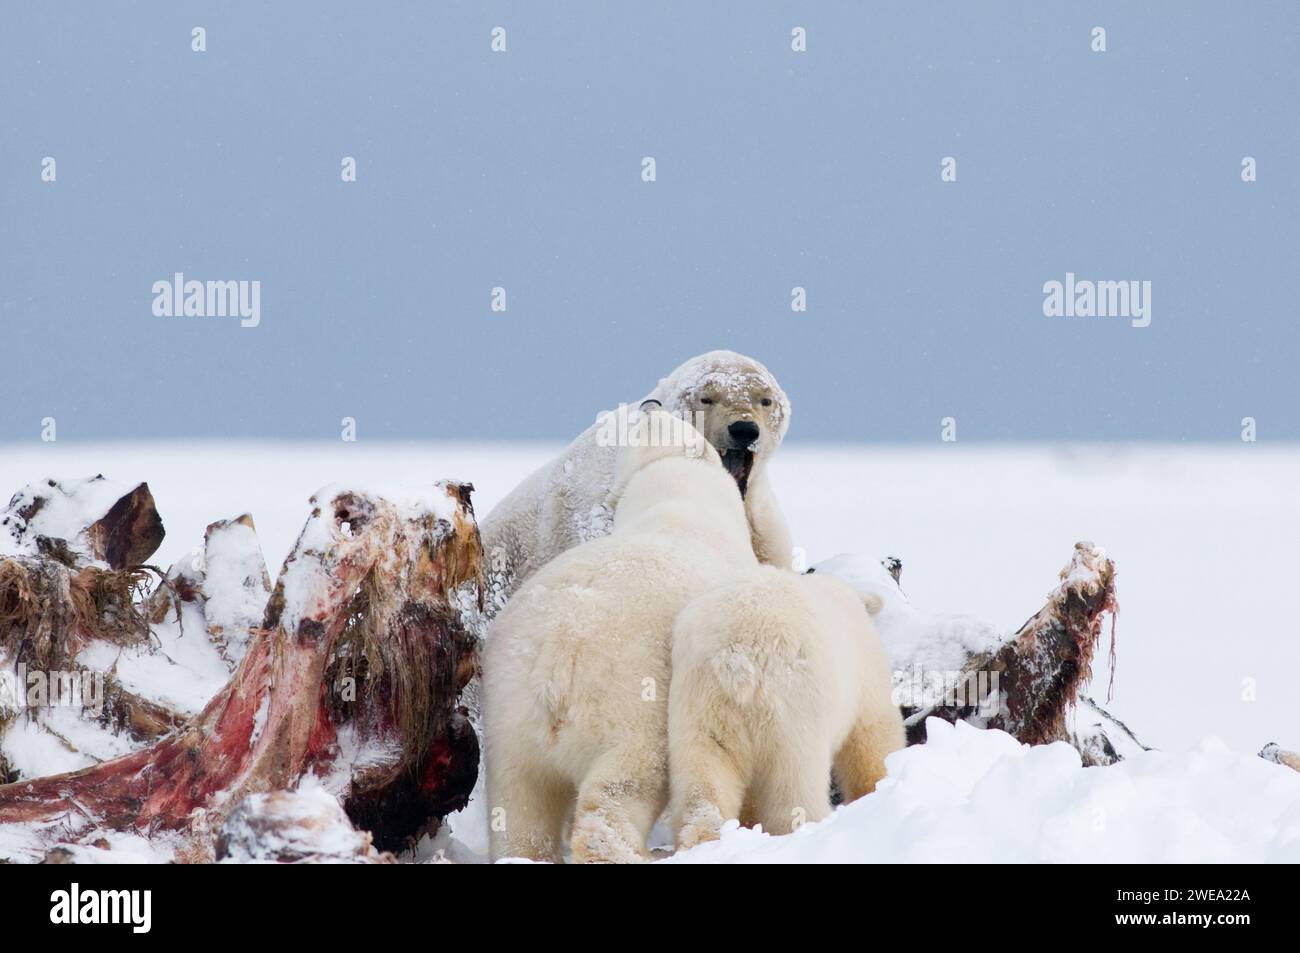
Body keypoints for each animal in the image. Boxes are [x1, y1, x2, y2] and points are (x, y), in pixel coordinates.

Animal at [483, 408, 759, 863]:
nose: (651, 404)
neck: (678, 502)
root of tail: (557, 650)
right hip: (626, 694)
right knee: (627, 780)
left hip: (509, 708)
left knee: (519, 799)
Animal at [670, 564, 904, 847]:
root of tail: (735, 654)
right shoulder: (863, 672)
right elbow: (873, 733)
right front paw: (878, 787)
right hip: (793, 705)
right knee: (795, 783)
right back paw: (804, 828)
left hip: (700, 701)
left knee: (704, 767)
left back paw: (703, 835)